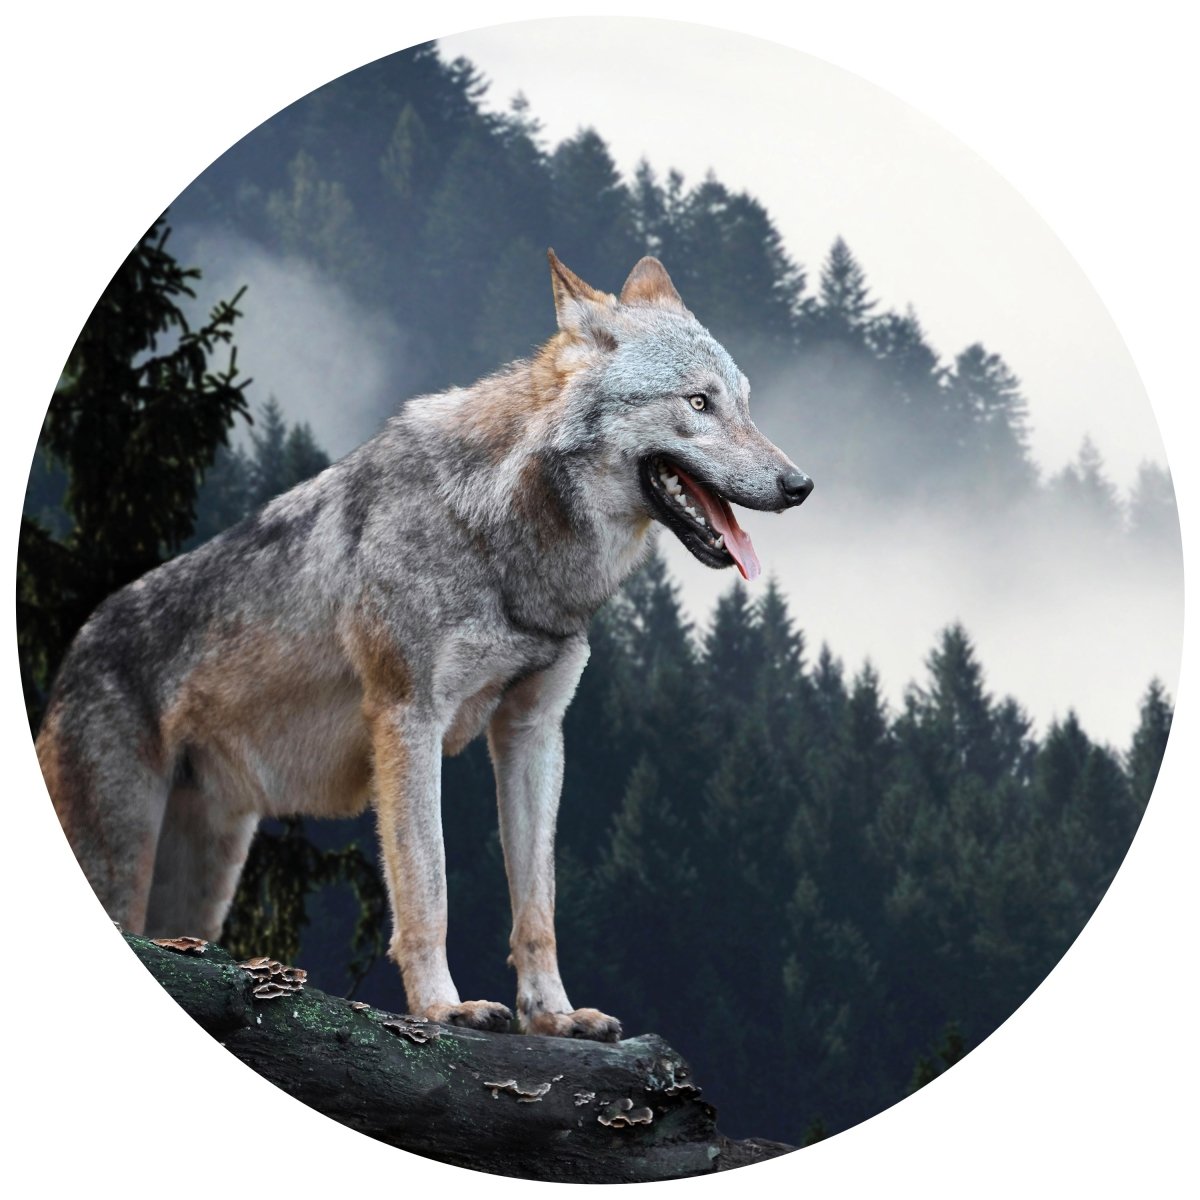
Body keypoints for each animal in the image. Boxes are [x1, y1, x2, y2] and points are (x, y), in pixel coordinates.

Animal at [37, 251, 812, 1040]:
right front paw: (444, 1007)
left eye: (745, 404)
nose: (800, 485)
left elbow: (538, 905)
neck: (505, 539)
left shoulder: (534, 731)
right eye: (698, 402)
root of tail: (74, 649)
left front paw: (554, 1016)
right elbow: (428, 887)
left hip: (205, 881)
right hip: (125, 859)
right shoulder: (409, 720)